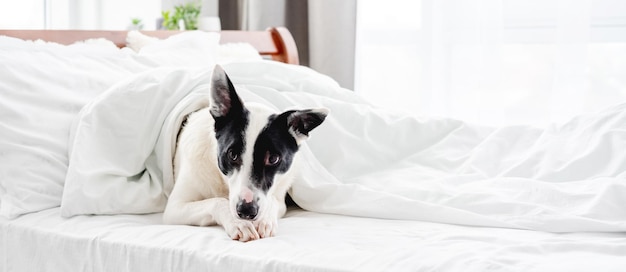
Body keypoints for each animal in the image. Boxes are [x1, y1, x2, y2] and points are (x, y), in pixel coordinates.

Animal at [162, 65, 326, 241]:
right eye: (232, 155)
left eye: (273, 159)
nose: (247, 211)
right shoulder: (174, 208)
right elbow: (217, 201)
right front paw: (238, 223)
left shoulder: (280, 199)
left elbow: (271, 202)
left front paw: (265, 220)